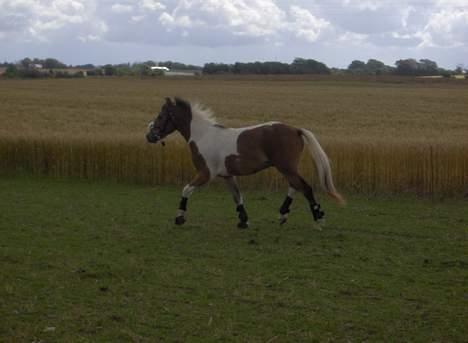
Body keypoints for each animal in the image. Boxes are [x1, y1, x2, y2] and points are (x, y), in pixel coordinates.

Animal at [146, 98, 344, 230]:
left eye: (161, 116)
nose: (149, 136)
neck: (202, 136)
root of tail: (296, 130)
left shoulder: (205, 173)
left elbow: (186, 189)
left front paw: (179, 217)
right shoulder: (227, 175)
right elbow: (237, 197)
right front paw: (243, 220)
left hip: (286, 167)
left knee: (305, 187)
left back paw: (318, 218)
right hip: (287, 168)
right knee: (295, 186)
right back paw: (283, 215)